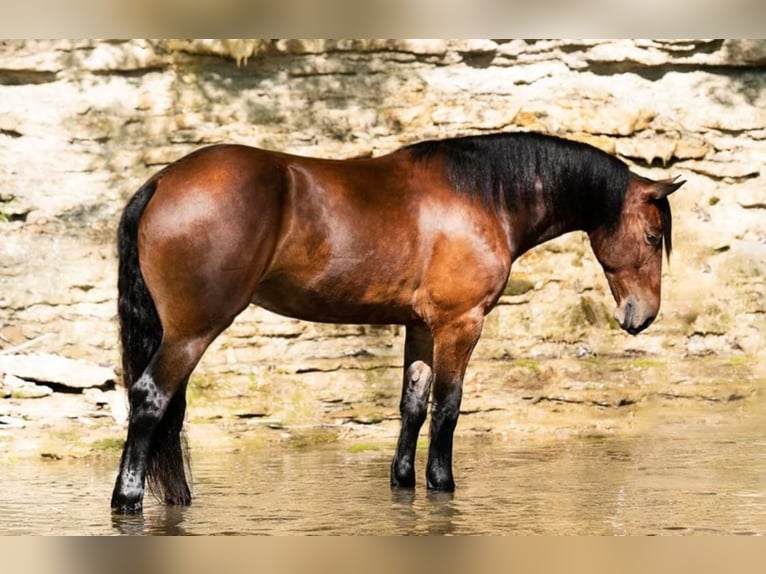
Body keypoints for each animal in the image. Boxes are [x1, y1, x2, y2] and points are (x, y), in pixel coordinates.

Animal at [108, 133, 684, 516]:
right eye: (654, 236)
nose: (641, 315)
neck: (482, 197)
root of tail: (162, 181)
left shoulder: (422, 328)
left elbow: (413, 405)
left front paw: (404, 480)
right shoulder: (460, 325)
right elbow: (448, 408)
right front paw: (442, 483)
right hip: (193, 330)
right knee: (152, 398)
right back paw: (128, 498)